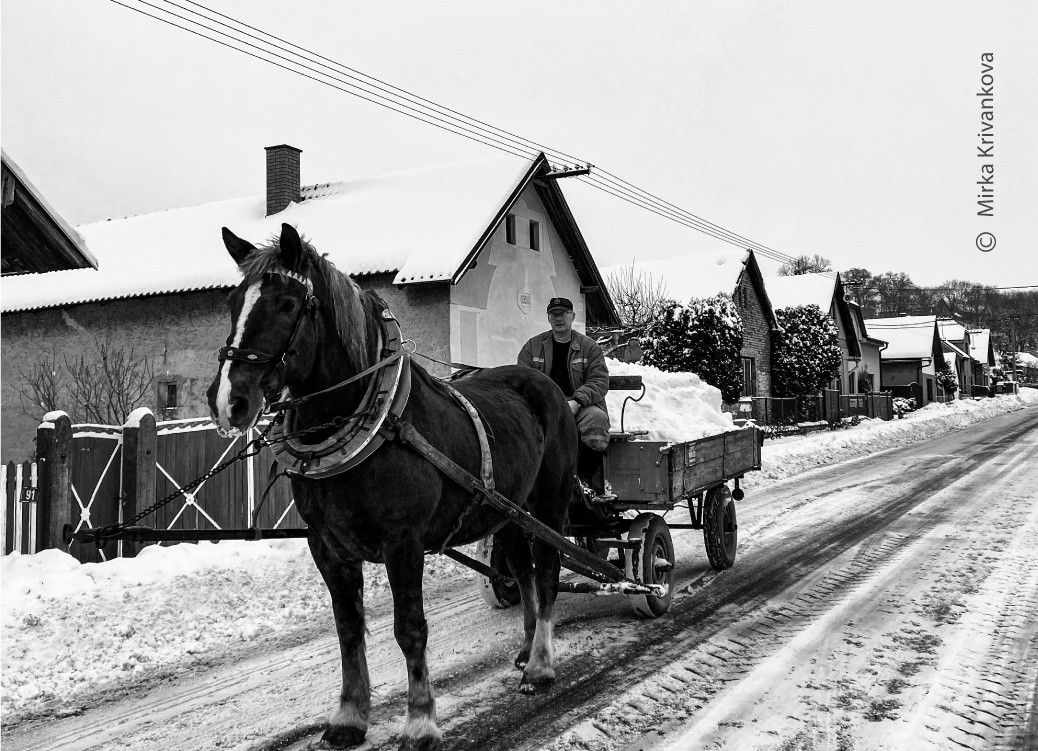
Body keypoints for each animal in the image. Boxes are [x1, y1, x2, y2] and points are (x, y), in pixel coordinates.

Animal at [204, 223, 577, 751]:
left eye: (289, 304)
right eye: (234, 302)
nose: (227, 401)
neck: (370, 420)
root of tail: (546, 384)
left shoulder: (404, 542)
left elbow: (410, 628)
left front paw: (420, 722)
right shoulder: (327, 546)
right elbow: (348, 628)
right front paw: (349, 716)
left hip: (548, 503)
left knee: (546, 571)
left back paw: (541, 665)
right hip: (506, 509)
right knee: (521, 571)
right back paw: (525, 649)